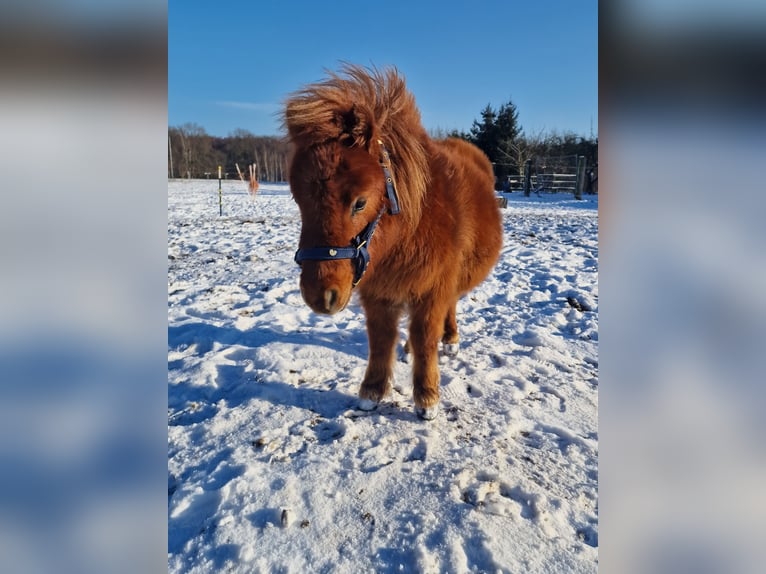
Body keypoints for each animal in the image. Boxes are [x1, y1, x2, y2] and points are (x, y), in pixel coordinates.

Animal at [282, 65, 504, 420]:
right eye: (298, 200)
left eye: (359, 202)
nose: (320, 296)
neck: (409, 229)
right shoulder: (378, 295)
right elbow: (381, 340)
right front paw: (372, 393)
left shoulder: (434, 289)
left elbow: (426, 336)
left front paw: (427, 399)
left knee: (449, 308)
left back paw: (451, 340)